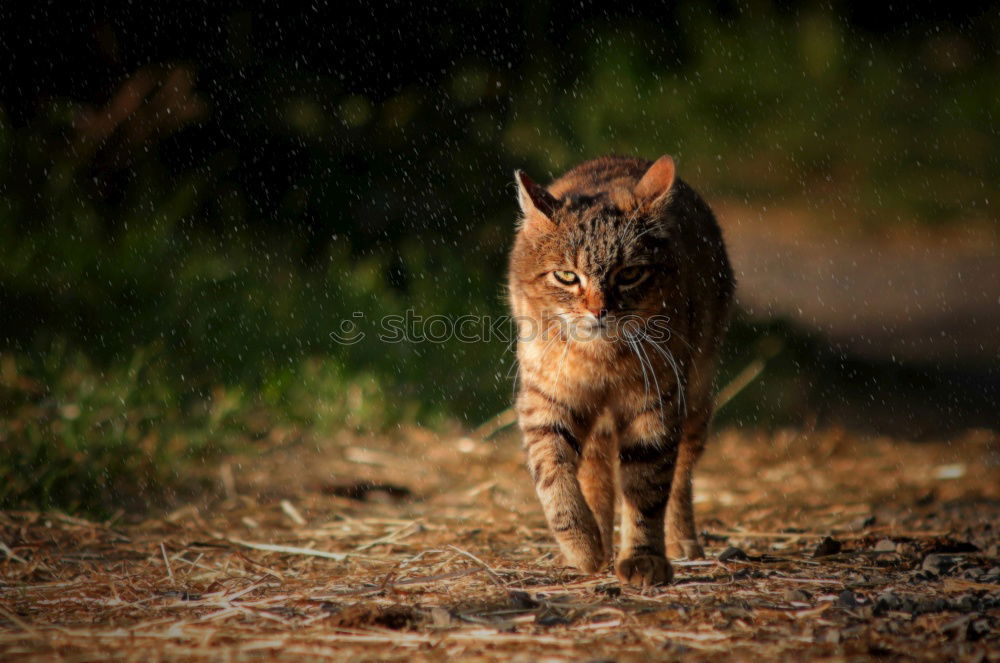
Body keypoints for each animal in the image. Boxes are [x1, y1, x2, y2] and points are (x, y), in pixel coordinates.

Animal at [508, 154, 736, 588]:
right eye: (567, 276)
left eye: (629, 274)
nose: (599, 310)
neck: (600, 359)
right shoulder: (546, 400)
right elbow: (554, 476)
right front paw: (582, 545)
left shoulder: (656, 405)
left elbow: (647, 487)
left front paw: (643, 557)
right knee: (594, 471)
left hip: (697, 398)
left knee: (681, 476)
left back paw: (681, 541)